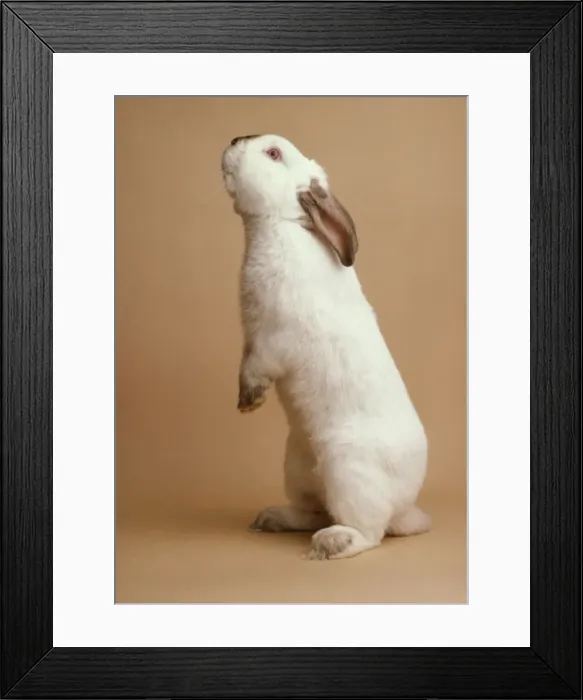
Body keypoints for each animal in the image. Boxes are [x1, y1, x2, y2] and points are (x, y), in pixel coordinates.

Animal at [221, 134, 430, 560]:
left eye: (273, 153)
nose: (234, 140)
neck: (280, 225)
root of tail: (405, 506)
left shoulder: (272, 339)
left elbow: (257, 367)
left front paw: (249, 402)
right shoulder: (253, 337)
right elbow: (245, 360)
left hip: (349, 472)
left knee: (369, 532)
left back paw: (330, 544)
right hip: (297, 467)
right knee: (315, 510)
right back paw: (271, 519)